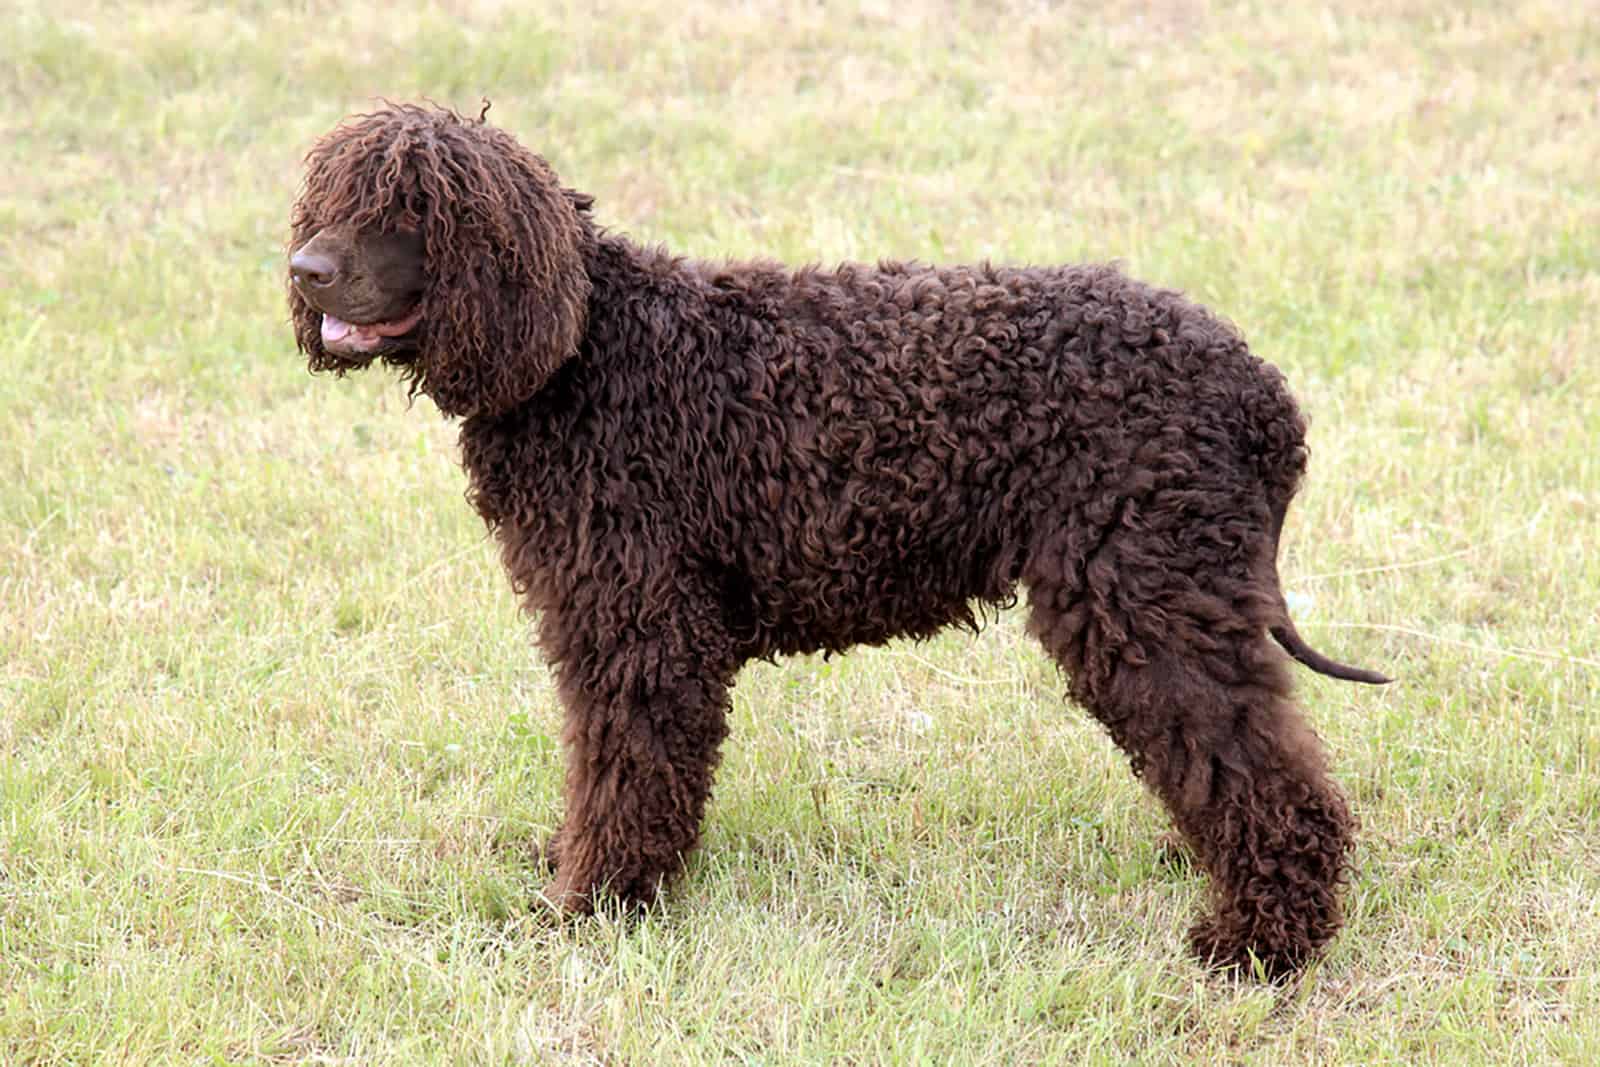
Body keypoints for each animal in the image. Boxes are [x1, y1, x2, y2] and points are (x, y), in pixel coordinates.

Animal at [288, 103, 1388, 979]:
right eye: (327, 196)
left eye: (414, 209)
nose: (304, 270)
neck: (587, 349)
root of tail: (1259, 391)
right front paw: (574, 865)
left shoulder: (642, 625)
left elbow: (627, 771)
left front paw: (594, 904)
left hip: (1141, 591)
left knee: (1263, 771)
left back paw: (1262, 943)